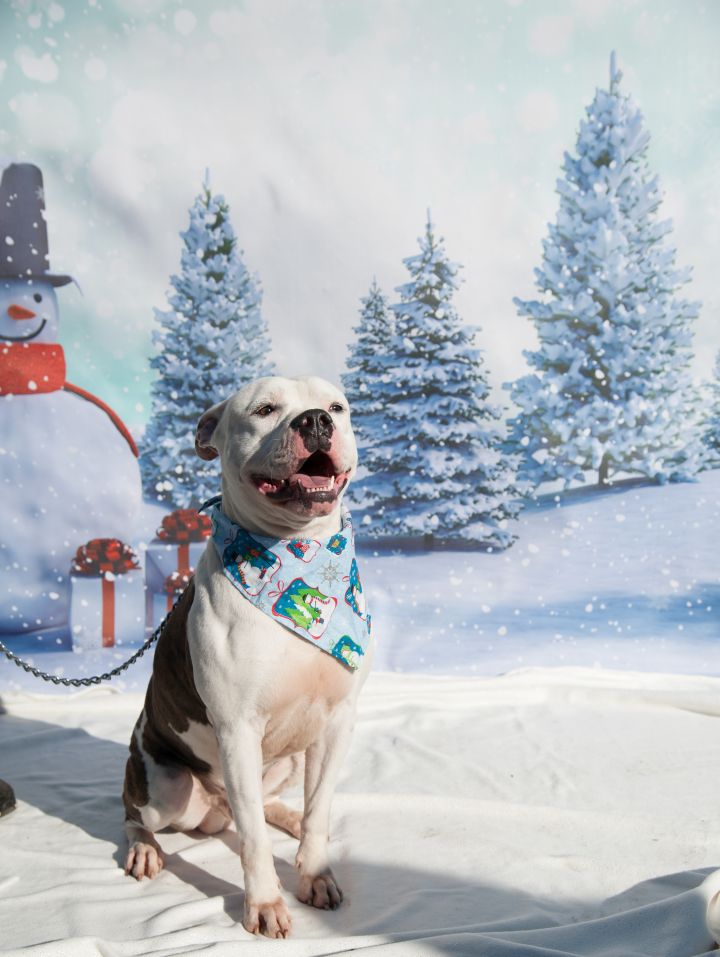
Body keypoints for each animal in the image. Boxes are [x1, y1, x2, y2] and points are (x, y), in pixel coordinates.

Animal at [121, 374, 374, 932]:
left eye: (336, 407)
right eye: (263, 410)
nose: (314, 421)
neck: (294, 550)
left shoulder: (338, 721)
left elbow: (319, 810)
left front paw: (314, 872)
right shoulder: (237, 727)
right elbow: (253, 840)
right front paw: (264, 904)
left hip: (291, 757)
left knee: (267, 804)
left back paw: (290, 819)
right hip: (166, 787)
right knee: (135, 812)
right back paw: (143, 849)